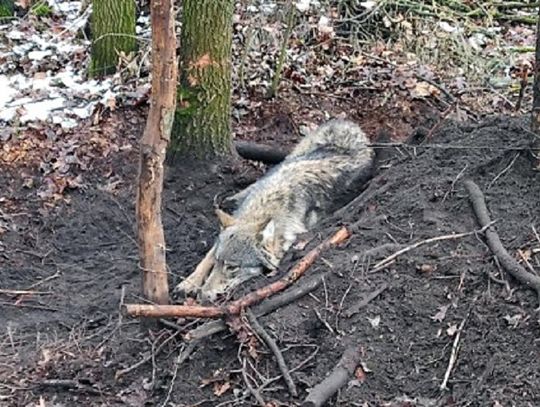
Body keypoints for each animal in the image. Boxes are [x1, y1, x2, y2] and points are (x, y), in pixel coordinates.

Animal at [175, 119, 374, 302]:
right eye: (218, 263)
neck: (262, 209)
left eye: (232, 267)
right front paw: (189, 282)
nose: (202, 297)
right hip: (296, 153)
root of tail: (347, 122)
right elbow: (206, 258)